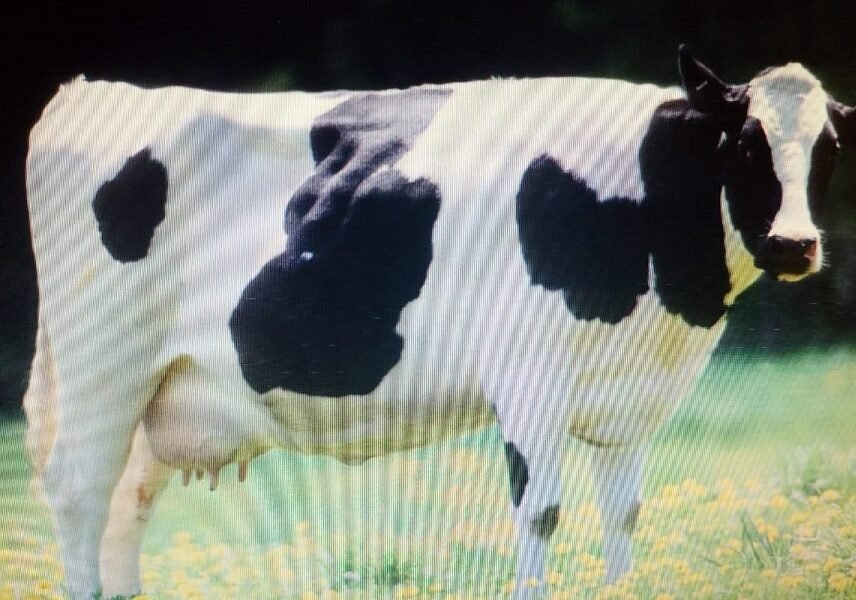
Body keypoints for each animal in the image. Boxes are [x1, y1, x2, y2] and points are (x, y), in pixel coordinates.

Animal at [23, 46, 856, 599]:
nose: (794, 244)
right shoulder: (529, 374)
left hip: (161, 389)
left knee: (125, 506)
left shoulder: (629, 399)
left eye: (828, 149)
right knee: (79, 492)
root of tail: (92, 92)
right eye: (745, 143)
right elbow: (542, 512)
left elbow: (623, 517)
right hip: (102, 361)